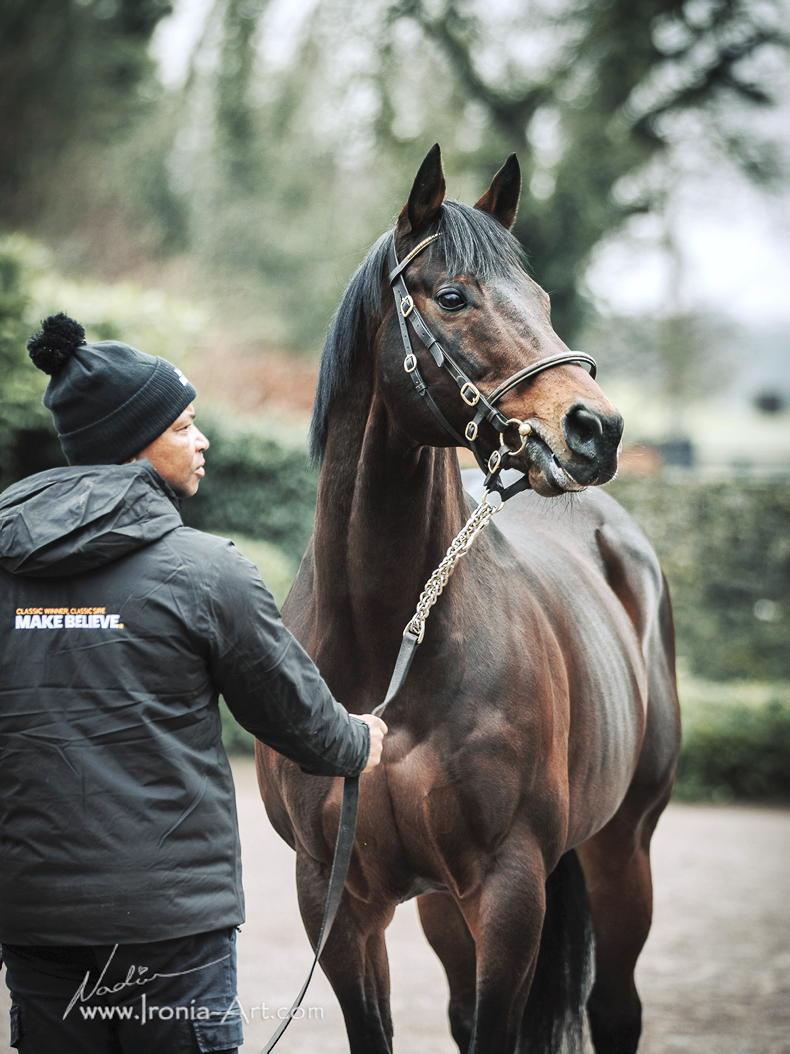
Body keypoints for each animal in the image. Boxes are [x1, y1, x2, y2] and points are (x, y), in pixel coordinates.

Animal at [255, 144, 681, 1054]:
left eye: (544, 300)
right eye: (452, 296)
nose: (595, 429)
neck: (388, 661)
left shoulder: (510, 890)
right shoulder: (337, 900)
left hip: (622, 849)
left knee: (616, 1009)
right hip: (447, 907)